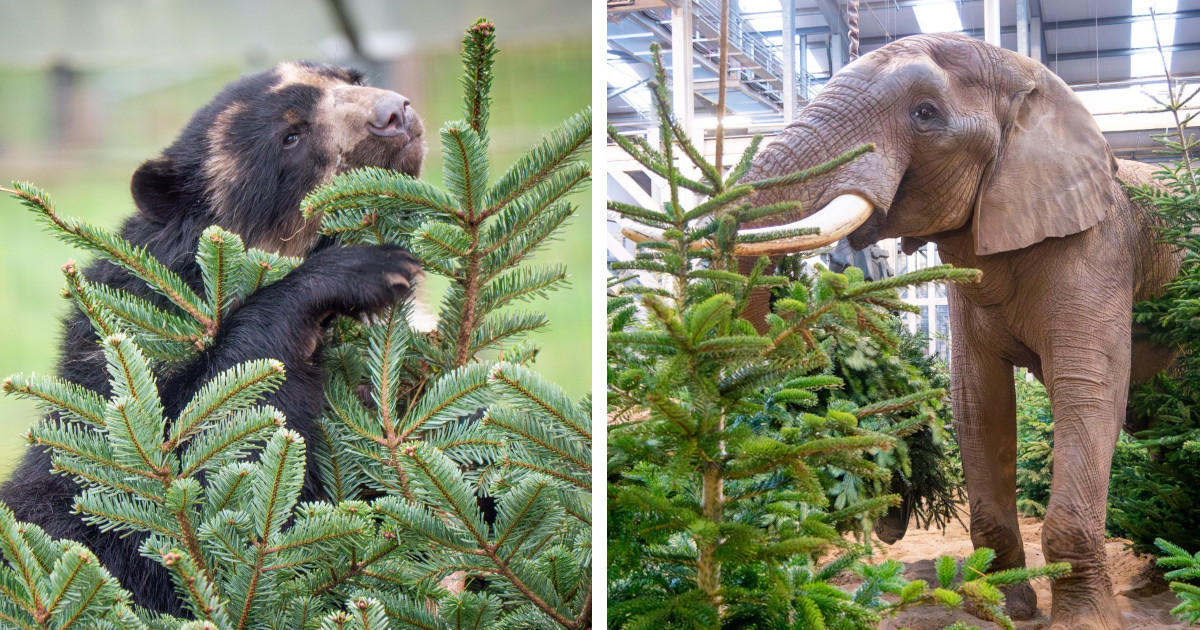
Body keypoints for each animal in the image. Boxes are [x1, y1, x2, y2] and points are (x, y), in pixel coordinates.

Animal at [638, 33, 1180, 628]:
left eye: (925, 114)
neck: (1034, 83)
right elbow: (979, 401)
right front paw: (996, 606)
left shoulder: (1100, 249)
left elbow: (1088, 388)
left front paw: (1083, 621)